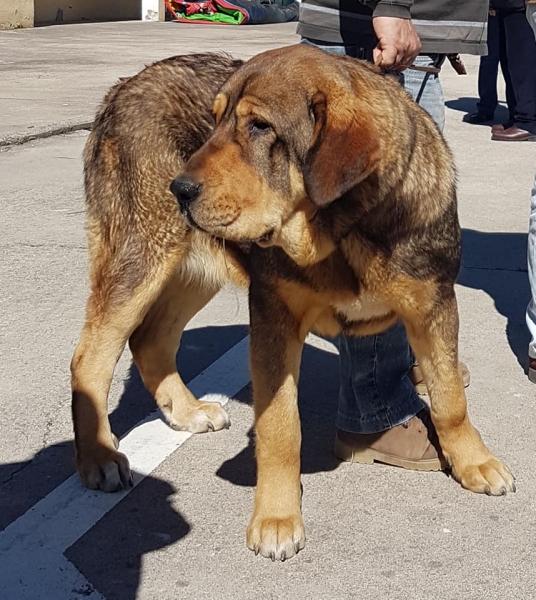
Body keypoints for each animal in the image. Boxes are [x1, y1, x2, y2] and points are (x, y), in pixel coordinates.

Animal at [71, 43, 516, 564]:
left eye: (259, 127)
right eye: (215, 121)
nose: (178, 189)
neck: (344, 228)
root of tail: (122, 87)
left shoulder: (433, 308)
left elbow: (450, 399)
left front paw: (474, 461)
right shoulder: (273, 319)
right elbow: (280, 426)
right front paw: (277, 518)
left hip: (193, 266)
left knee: (150, 339)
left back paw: (186, 411)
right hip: (142, 255)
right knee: (90, 358)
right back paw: (99, 456)